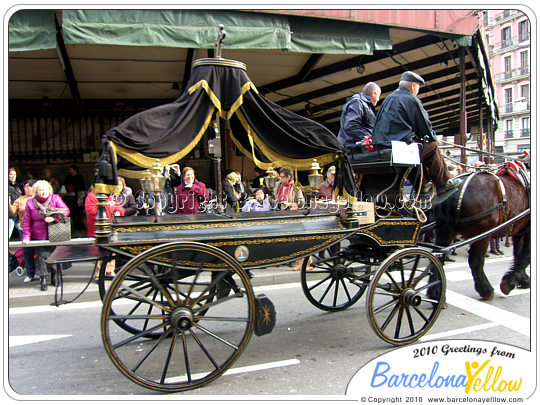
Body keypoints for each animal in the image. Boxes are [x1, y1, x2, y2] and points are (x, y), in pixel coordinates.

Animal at [432, 163, 528, 298]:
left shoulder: (519, 231)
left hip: (446, 230)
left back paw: (435, 292)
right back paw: (486, 290)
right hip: (482, 233)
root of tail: (458, 189)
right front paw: (510, 283)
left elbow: (519, 254)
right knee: (475, 260)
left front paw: (523, 280)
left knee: (439, 256)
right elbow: (526, 256)